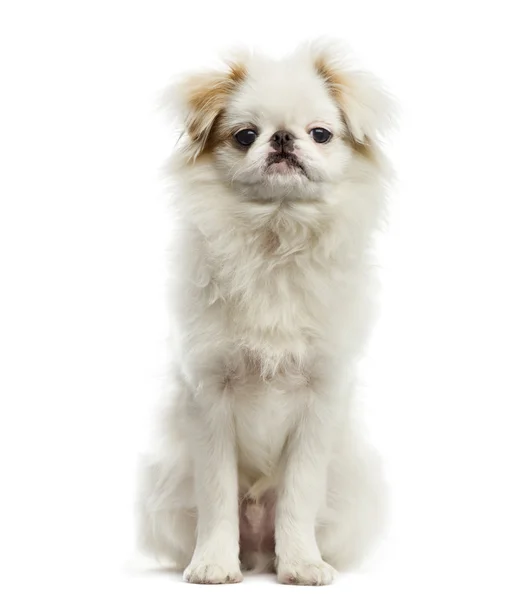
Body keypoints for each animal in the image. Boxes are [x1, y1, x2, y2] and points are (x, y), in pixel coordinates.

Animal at [138, 39, 394, 584]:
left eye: (320, 134)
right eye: (245, 136)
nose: (280, 140)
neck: (276, 236)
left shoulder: (320, 398)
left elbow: (299, 494)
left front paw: (301, 565)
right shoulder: (209, 397)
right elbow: (216, 495)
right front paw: (213, 564)